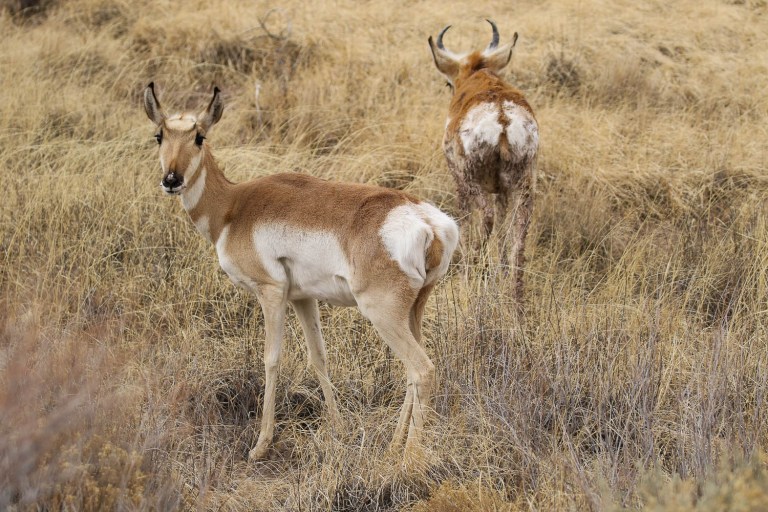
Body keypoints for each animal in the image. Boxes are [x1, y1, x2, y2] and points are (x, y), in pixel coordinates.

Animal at [142, 83, 459, 462]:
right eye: (159, 135)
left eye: (199, 137)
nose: (171, 180)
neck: (234, 206)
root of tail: (428, 222)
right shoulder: (303, 298)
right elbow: (318, 358)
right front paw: (339, 429)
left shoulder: (271, 293)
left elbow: (271, 359)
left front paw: (260, 445)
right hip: (413, 311)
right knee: (413, 372)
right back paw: (394, 445)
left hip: (382, 314)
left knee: (422, 370)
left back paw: (407, 459)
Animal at [428, 20, 538, 306]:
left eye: (449, 83)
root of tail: (501, 118)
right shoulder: (502, 192)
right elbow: (502, 229)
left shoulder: (460, 185)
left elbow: (466, 222)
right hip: (524, 190)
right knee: (517, 244)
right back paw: (516, 302)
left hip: (471, 183)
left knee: (485, 218)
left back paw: (471, 270)